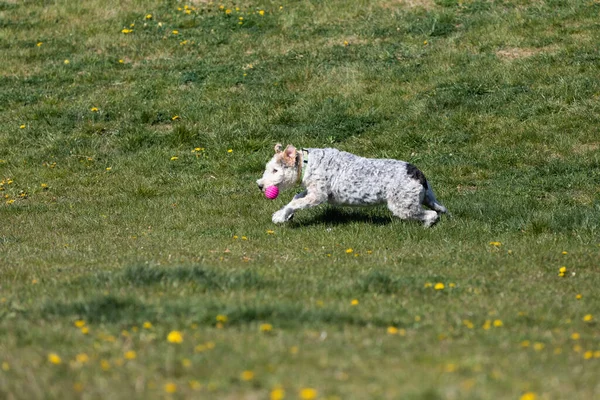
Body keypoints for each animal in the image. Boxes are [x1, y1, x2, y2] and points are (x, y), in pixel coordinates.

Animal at [255, 144, 448, 227]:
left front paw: (281, 216)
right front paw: (284, 214)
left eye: (275, 170)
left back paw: (425, 226)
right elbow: (295, 197)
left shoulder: (318, 196)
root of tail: (418, 174)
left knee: (431, 215)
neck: (307, 163)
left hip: (403, 205)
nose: (260, 185)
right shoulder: (312, 191)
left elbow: (295, 202)